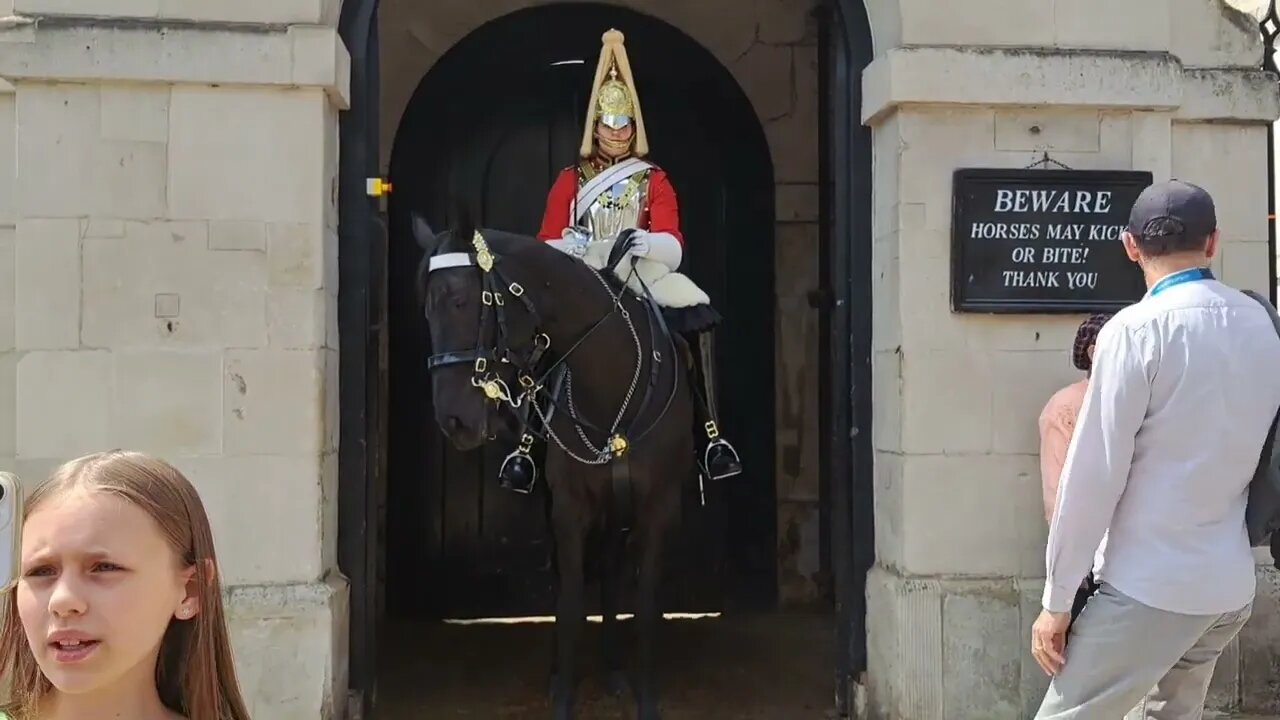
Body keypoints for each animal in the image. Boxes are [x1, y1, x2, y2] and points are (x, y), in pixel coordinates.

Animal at [409, 208, 691, 717]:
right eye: (427, 307)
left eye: (460, 300)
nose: (455, 421)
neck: (612, 388)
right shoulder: (568, 509)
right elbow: (571, 598)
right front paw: (563, 693)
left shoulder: (659, 506)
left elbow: (644, 600)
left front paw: (645, 697)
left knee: (612, 572)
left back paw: (614, 670)